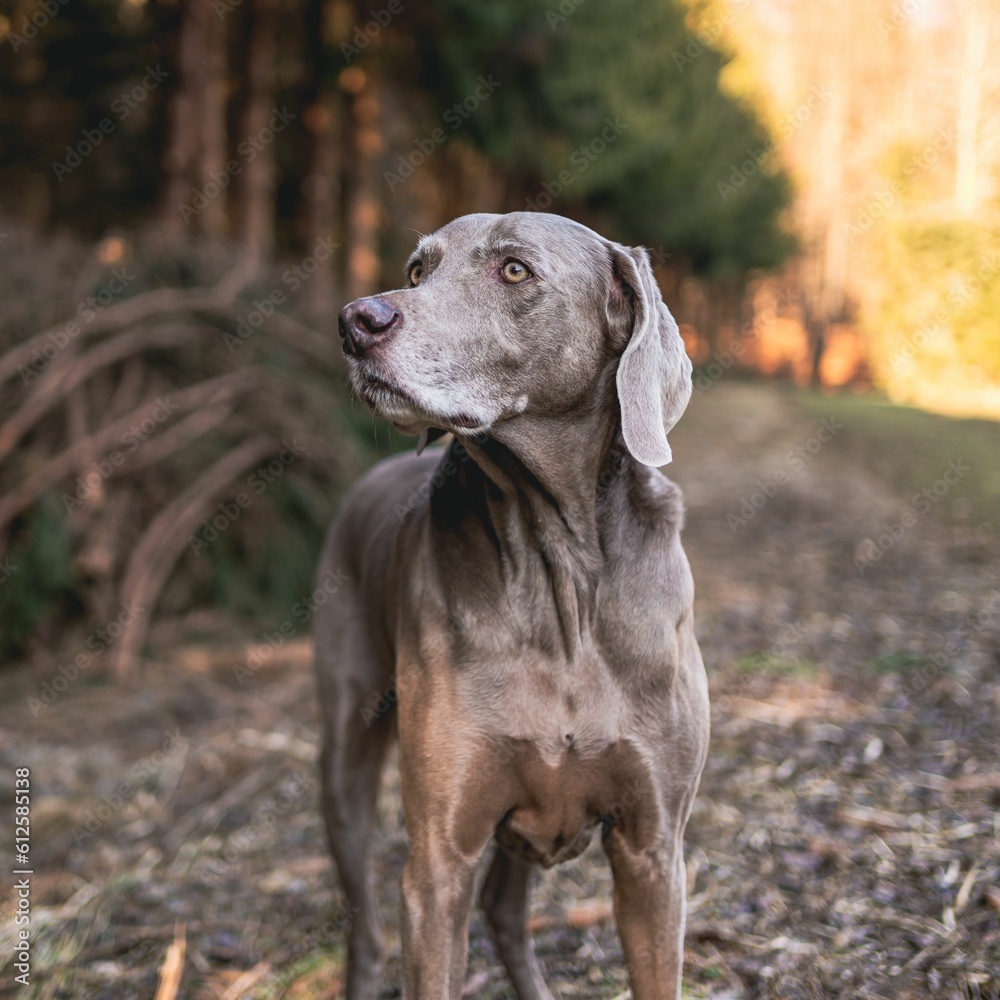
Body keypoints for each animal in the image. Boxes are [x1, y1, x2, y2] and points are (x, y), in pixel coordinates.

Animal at [314, 213, 712, 1000]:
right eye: (417, 271)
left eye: (515, 271)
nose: (356, 321)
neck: (558, 569)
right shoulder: (439, 862)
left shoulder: (654, 851)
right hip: (345, 755)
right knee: (365, 927)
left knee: (502, 909)